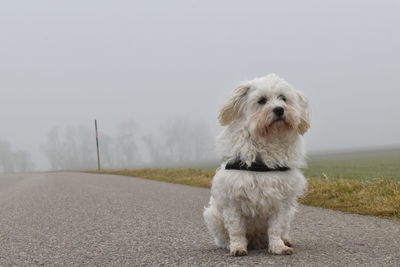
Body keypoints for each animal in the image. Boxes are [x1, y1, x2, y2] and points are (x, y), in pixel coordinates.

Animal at [203, 74, 310, 258]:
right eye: (262, 100)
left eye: (283, 98)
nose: (279, 110)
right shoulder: (233, 200)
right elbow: (237, 229)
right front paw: (237, 247)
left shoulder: (280, 200)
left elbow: (275, 229)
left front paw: (278, 247)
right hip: (213, 215)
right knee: (224, 236)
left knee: (283, 229)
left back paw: (286, 239)